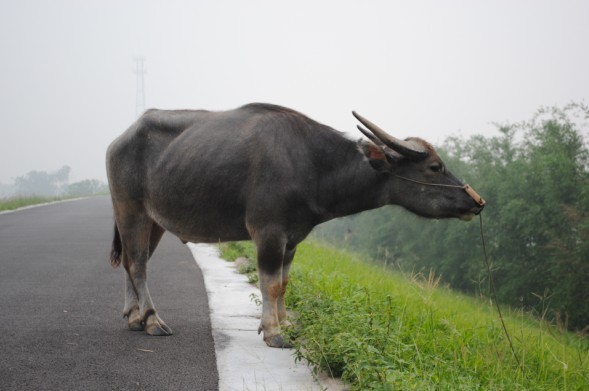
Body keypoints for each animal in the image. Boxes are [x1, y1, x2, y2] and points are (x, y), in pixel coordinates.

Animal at [105, 102, 482, 348]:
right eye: (435, 167)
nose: (477, 202)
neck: (314, 165)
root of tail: (120, 139)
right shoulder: (268, 233)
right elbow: (270, 284)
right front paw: (273, 332)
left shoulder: (293, 239)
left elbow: (284, 284)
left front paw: (286, 323)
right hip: (130, 210)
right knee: (137, 265)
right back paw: (153, 320)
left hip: (154, 220)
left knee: (132, 262)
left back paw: (135, 318)